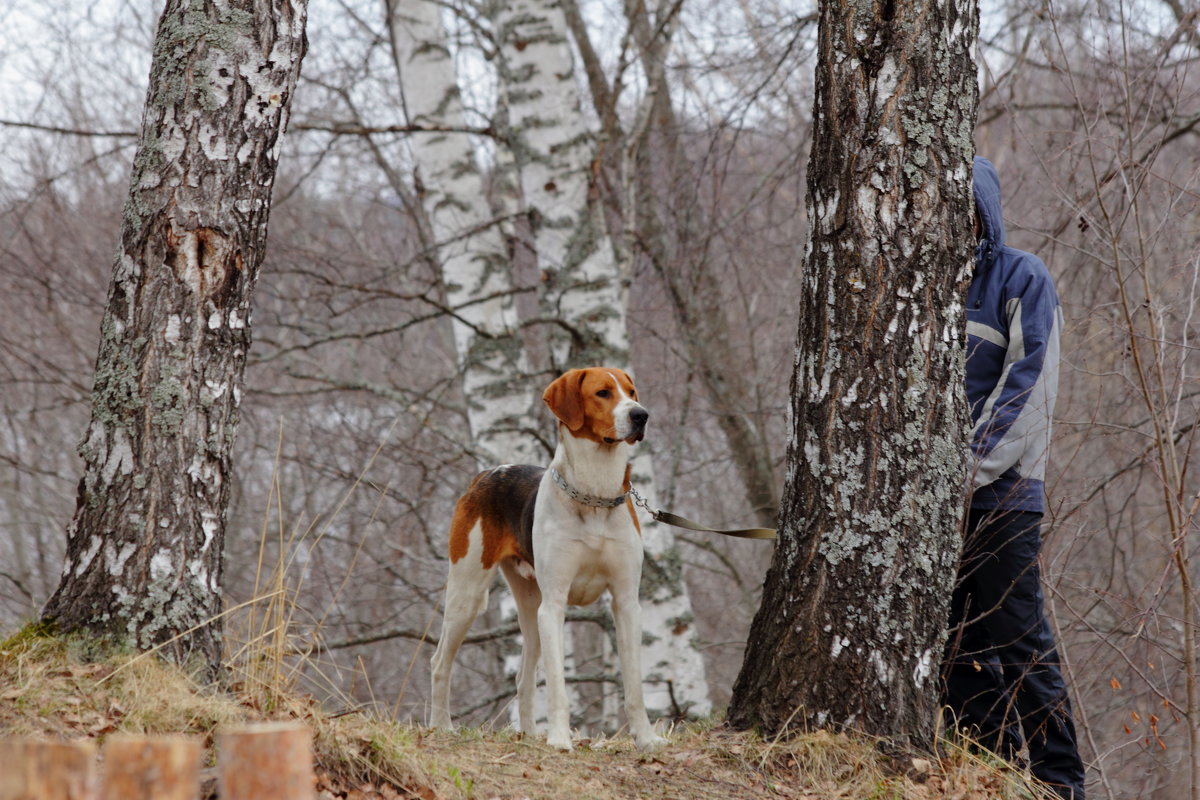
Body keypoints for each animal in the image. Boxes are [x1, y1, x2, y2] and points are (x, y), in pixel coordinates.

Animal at [427, 367, 667, 753]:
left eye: (632, 392)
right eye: (603, 393)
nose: (641, 415)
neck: (594, 493)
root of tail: (487, 473)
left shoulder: (627, 603)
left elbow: (634, 685)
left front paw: (645, 739)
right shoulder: (554, 605)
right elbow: (557, 686)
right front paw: (559, 739)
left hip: (530, 608)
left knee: (523, 677)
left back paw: (528, 734)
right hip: (468, 594)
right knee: (439, 663)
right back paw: (441, 727)